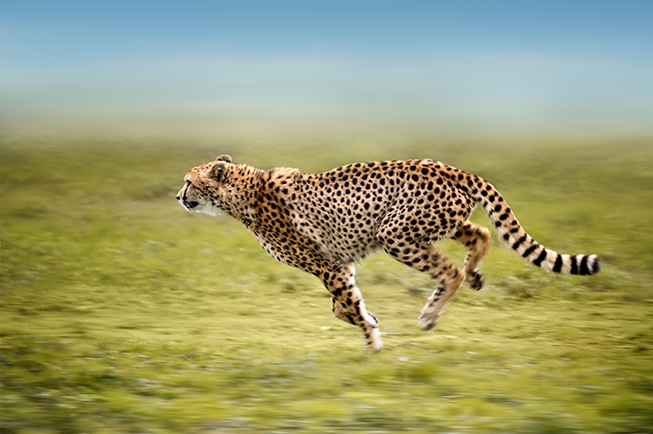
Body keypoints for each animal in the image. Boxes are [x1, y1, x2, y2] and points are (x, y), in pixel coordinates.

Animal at [176, 156, 600, 352]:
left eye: (188, 182)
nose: (179, 196)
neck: (242, 192)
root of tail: (447, 167)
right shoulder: (339, 265)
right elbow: (341, 306)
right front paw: (371, 320)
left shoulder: (328, 267)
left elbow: (344, 304)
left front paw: (372, 344)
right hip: (437, 223)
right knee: (480, 234)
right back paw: (475, 276)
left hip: (396, 234)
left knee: (450, 272)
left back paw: (430, 314)